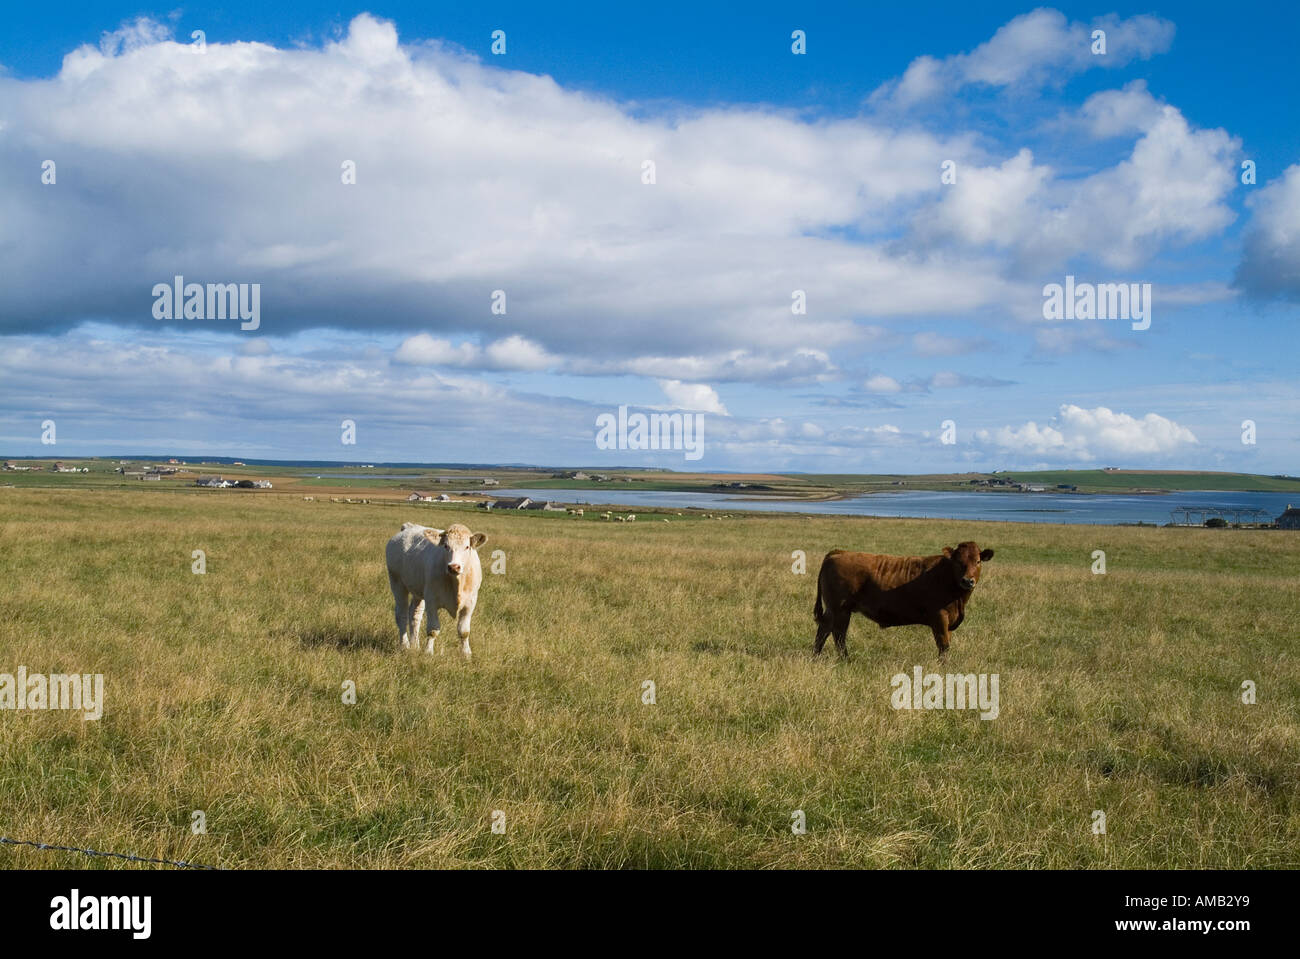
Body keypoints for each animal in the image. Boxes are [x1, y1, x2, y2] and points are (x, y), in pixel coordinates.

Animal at [385, 522, 488, 657]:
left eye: (467, 547)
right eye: (446, 546)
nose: (454, 567)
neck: (456, 583)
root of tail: (409, 526)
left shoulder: (470, 603)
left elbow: (464, 631)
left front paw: (466, 654)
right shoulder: (431, 601)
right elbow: (433, 629)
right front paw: (428, 652)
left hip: (418, 591)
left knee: (415, 614)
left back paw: (415, 645)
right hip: (397, 582)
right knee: (401, 615)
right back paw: (405, 645)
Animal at [813, 541, 994, 662]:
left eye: (978, 561)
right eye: (958, 562)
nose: (968, 581)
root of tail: (839, 552)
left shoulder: (948, 620)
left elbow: (946, 643)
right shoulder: (940, 617)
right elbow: (943, 644)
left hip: (833, 610)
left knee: (824, 630)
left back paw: (816, 656)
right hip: (840, 609)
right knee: (838, 635)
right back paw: (845, 660)